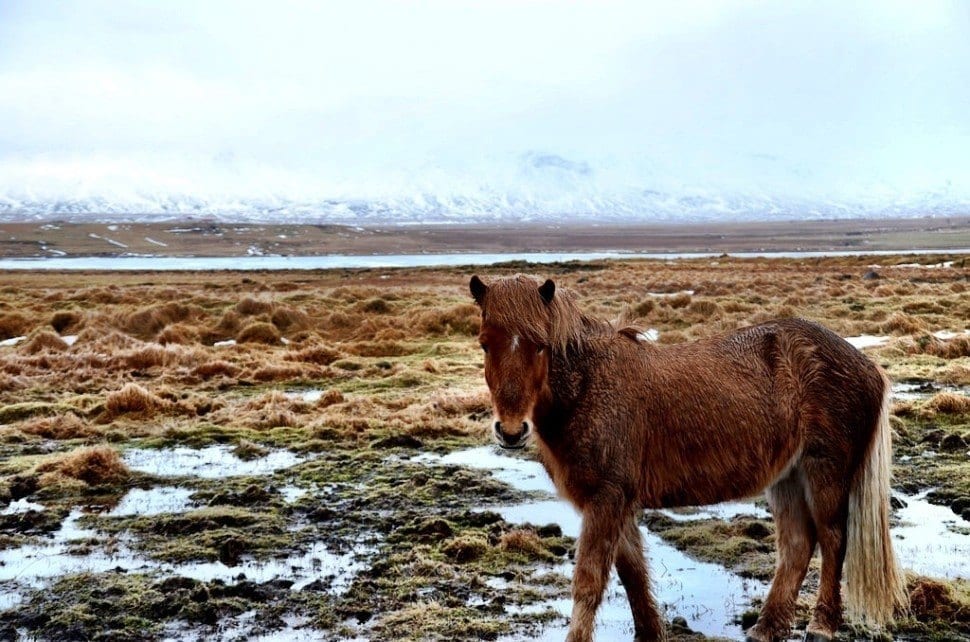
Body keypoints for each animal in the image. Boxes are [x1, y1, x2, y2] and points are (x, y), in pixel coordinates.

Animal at [469, 274, 907, 642]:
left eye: (540, 345)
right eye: (485, 343)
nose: (511, 431)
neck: (589, 387)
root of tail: (867, 366)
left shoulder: (606, 499)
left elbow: (589, 582)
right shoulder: (615, 502)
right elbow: (632, 572)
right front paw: (651, 633)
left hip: (824, 471)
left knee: (833, 538)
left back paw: (821, 626)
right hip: (788, 477)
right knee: (798, 545)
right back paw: (766, 628)